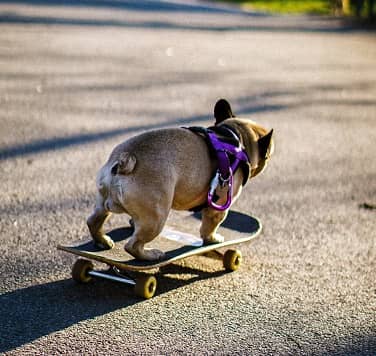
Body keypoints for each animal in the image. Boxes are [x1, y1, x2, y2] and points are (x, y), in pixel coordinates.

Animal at [86, 98, 272, 260]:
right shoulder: (219, 205)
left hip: (104, 203)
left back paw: (103, 241)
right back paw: (150, 255)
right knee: (132, 246)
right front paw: (212, 239)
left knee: (93, 221)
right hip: (156, 217)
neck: (235, 137)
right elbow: (210, 225)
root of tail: (125, 159)